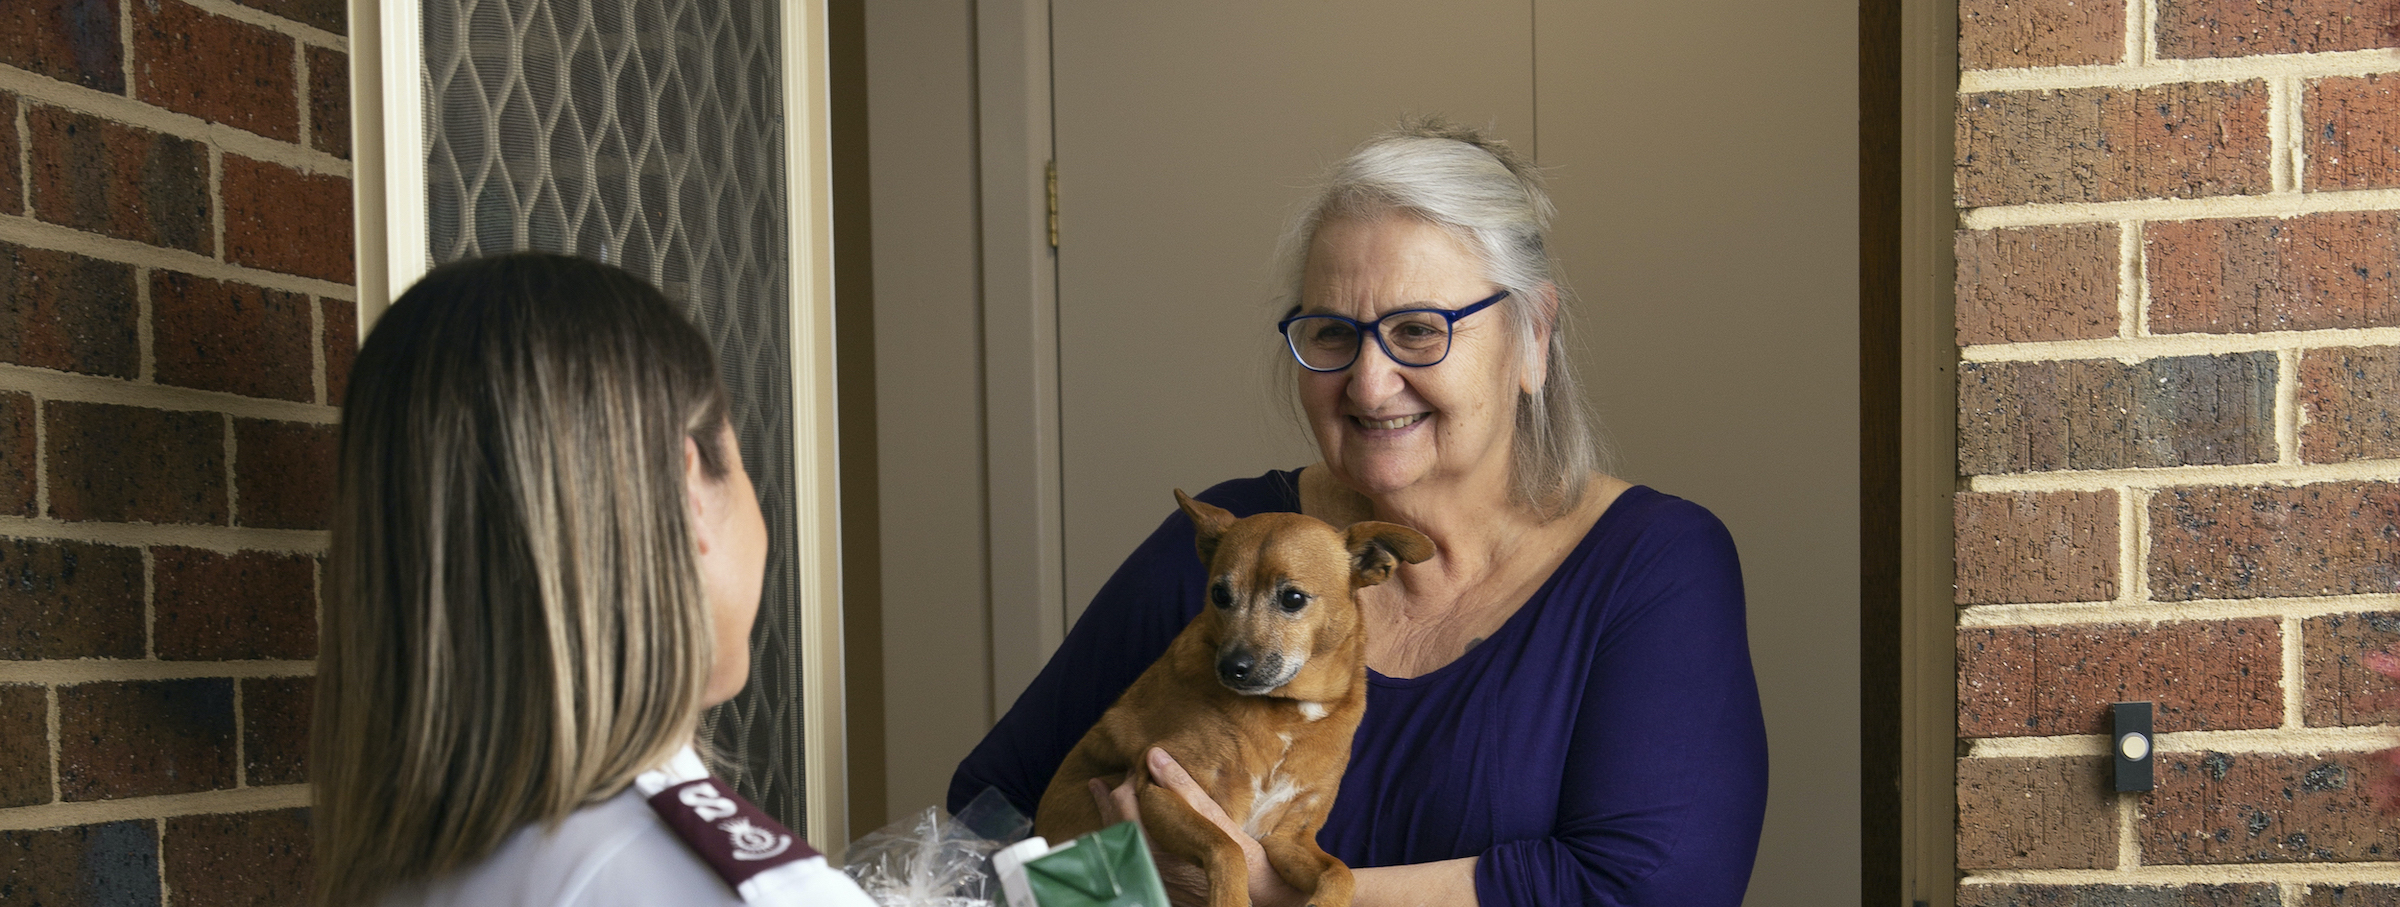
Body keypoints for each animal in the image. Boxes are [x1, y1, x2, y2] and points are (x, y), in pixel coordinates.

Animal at [1027, 489, 1420, 906]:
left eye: (1293, 598)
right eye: (1219, 594)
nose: (1232, 667)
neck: (1285, 713)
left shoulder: (1288, 837)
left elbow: (1341, 873)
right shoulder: (1162, 792)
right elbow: (1226, 847)